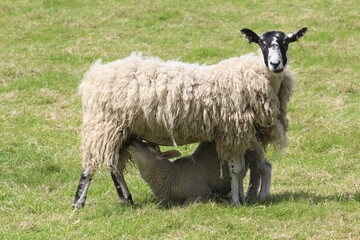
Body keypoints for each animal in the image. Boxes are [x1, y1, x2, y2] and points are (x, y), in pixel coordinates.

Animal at [126, 140, 270, 207]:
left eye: (153, 146)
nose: (131, 142)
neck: (173, 176)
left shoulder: (201, 192)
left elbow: (184, 206)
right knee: (255, 171)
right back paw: (251, 194)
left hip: (253, 150)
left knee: (266, 167)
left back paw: (262, 196)